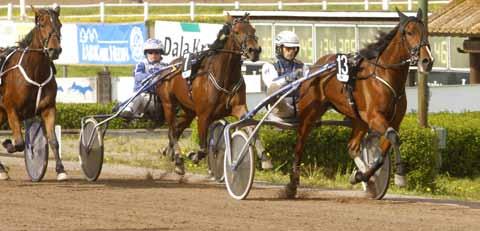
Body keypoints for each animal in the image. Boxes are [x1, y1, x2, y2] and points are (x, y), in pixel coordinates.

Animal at [0, 5, 65, 180]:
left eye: (59, 25)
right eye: (42, 25)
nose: (54, 50)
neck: (35, 71)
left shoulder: (48, 108)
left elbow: (53, 140)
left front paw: (60, 170)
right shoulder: (12, 110)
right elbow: (20, 144)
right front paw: (7, 144)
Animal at [157, 13, 262, 174]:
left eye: (253, 30)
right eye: (237, 32)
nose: (254, 50)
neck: (224, 77)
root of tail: (169, 67)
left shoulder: (239, 108)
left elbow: (251, 128)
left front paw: (265, 157)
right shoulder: (203, 115)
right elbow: (203, 149)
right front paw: (193, 155)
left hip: (188, 111)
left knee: (177, 130)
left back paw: (172, 155)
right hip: (168, 104)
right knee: (172, 131)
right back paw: (178, 159)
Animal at [284, 8, 436, 198]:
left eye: (426, 32)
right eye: (409, 32)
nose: (427, 61)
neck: (386, 75)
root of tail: (316, 66)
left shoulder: (392, 121)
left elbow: (387, 144)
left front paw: (362, 176)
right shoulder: (374, 117)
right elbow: (393, 137)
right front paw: (400, 175)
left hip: (359, 120)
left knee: (352, 146)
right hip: (310, 114)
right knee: (299, 144)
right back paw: (292, 184)